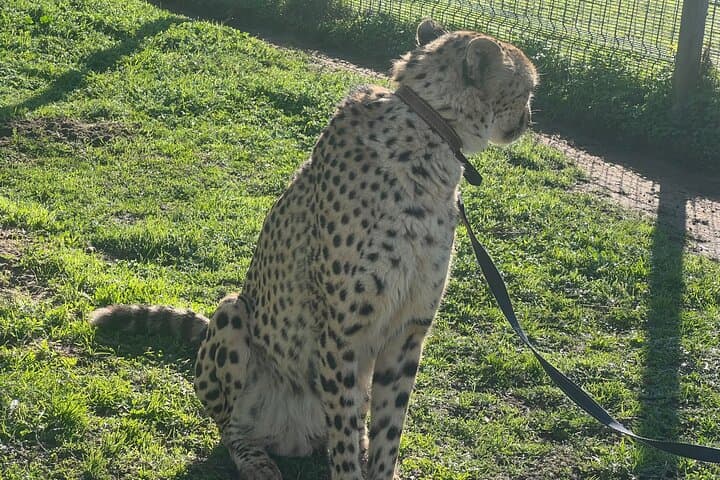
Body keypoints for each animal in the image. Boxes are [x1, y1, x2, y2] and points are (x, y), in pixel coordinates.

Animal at [90, 19, 538, 480]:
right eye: (527, 89)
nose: (528, 119)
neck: (431, 133)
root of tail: (293, 438)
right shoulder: (341, 330)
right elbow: (343, 433)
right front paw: (350, 468)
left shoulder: (407, 329)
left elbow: (389, 428)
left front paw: (380, 465)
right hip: (232, 312)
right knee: (232, 427)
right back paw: (256, 459)